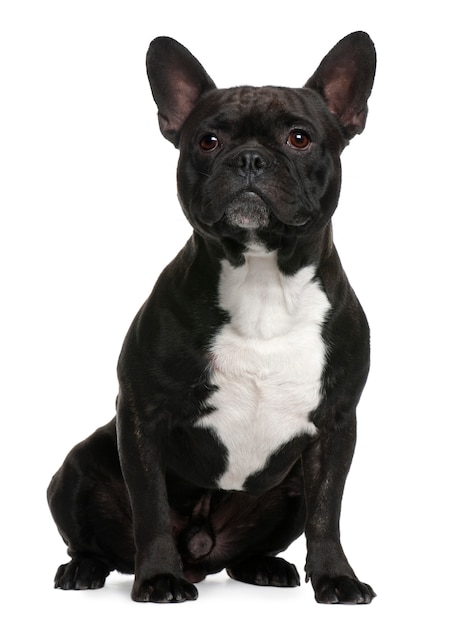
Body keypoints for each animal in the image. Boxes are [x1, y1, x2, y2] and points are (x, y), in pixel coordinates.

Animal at [47, 31, 376, 604]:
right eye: (207, 141)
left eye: (299, 138)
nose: (249, 159)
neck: (263, 280)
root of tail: (202, 552)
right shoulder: (143, 417)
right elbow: (151, 509)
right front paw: (158, 577)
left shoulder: (337, 424)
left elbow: (327, 511)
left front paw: (336, 577)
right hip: (76, 467)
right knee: (92, 539)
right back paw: (85, 569)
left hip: (287, 484)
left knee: (261, 541)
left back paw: (267, 567)